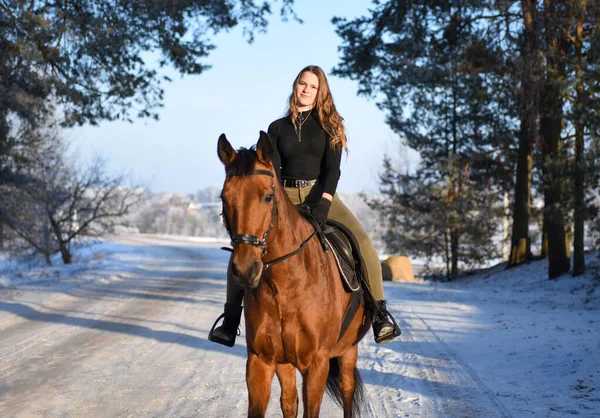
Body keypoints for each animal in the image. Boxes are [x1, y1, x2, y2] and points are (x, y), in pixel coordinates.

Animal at [218, 132, 372, 416]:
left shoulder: (317, 364)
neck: (286, 286)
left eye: (268, 196)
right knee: (289, 401)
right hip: (286, 363)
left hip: (348, 351)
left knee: (347, 389)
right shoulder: (261, 361)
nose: (246, 270)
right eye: (224, 197)